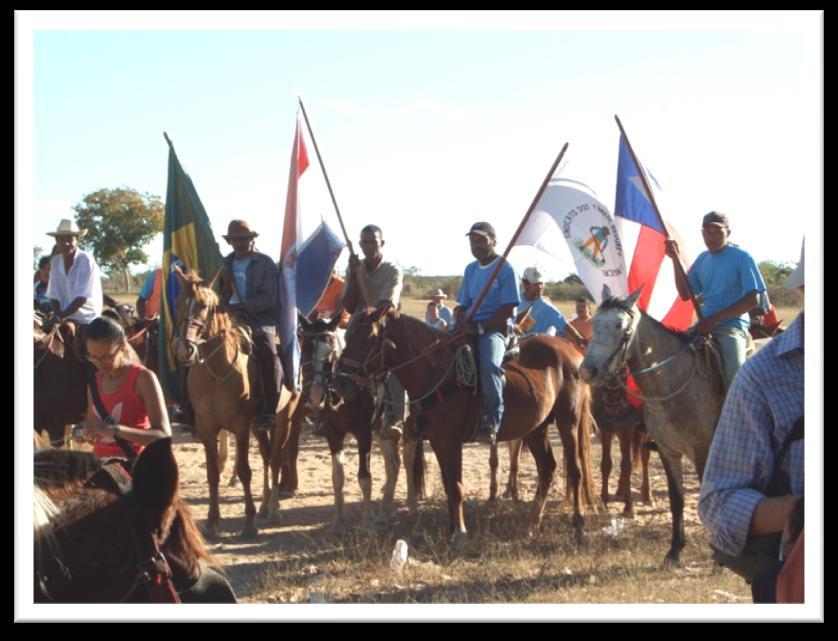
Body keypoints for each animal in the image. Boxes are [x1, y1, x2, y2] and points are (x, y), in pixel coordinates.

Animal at [338, 308, 600, 544]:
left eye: (366, 338)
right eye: (347, 335)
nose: (340, 380)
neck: (436, 372)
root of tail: (573, 352)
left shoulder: (452, 441)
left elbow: (456, 486)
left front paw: (460, 533)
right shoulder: (437, 441)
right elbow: (448, 486)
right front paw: (450, 530)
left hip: (568, 420)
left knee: (575, 470)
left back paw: (578, 525)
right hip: (537, 428)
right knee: (547, 468)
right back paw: (532, 525)